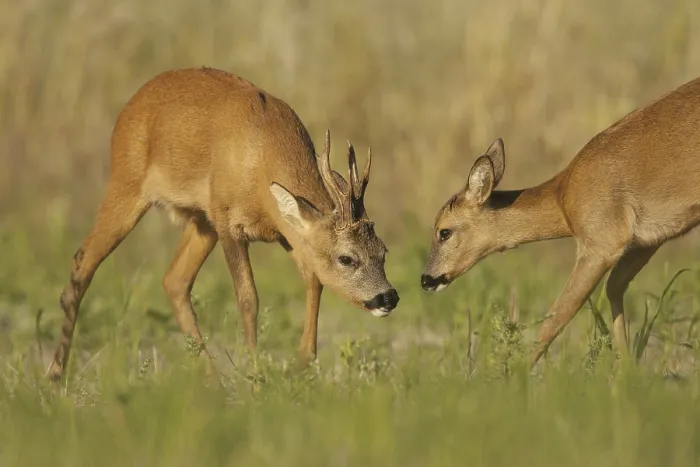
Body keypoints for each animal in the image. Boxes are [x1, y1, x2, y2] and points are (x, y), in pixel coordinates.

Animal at [47, 67, 399, 382]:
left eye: (383, 252)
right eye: (347, 258)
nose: (388, 297)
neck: (260, 156)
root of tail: (129, 106)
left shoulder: (285, 232)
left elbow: (314, 280)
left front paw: (302, 366)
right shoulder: (229, 223)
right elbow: (248, 298)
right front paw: (257, 378)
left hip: (201, 220)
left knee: (174, 280)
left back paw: (213, 381)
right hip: (127, 182)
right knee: (82, 263)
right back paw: (55, 375)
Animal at [420, 75, 700, 367]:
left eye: (444, 231)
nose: (427, 279)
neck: (563, 197)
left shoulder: (602, 243)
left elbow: (555, 318)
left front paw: (512, 373)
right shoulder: (645, 243)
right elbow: (614, 287)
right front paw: (625, 369)